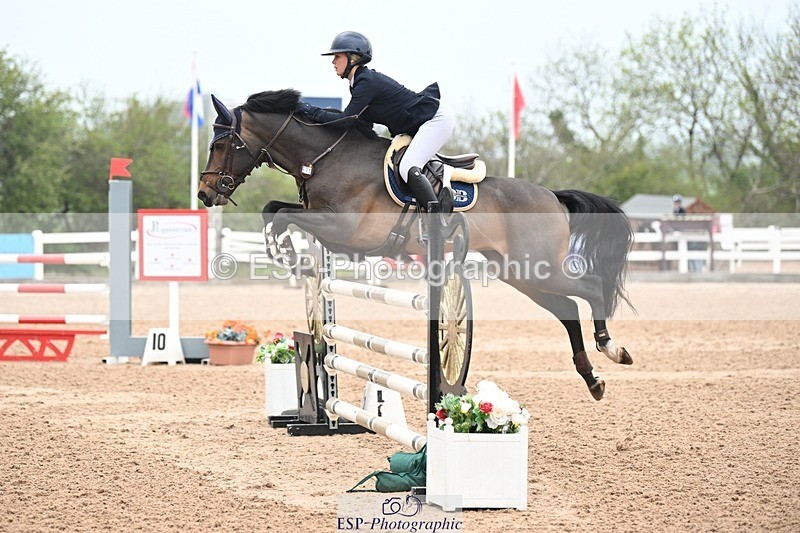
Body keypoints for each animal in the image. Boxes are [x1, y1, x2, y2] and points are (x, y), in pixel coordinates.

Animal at [198, 89, 634, 401]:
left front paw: (284, 252)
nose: (205, 194)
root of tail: (551, 195)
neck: (327, 157)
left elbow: (279, 213)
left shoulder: (344, 229)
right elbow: (274, 210)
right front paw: (287, 255)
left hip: (538, 266)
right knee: (567, 311)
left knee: (590, 288)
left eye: (220, 144)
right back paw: (593, 379)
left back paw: (612, 348)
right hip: (520, 273)